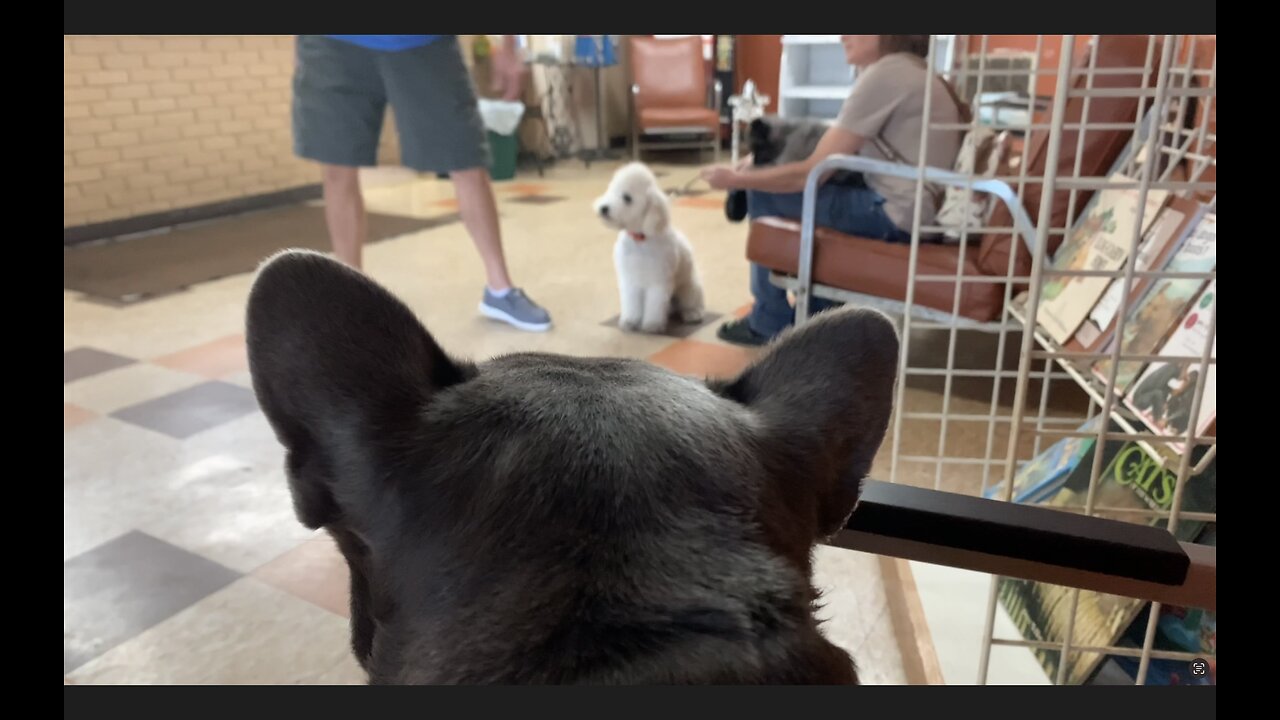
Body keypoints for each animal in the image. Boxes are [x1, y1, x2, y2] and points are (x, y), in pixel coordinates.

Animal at [591, 161, 706, 333]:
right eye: (611, 189)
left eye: (627, 198)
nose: (604, 208)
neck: (640, 240)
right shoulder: (630, 280)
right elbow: (631, 303)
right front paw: (630, 321)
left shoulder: (658, 282)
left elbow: (654, 305)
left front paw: (652, 325)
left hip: (689, 288)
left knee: (692, 304)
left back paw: (692, 314)